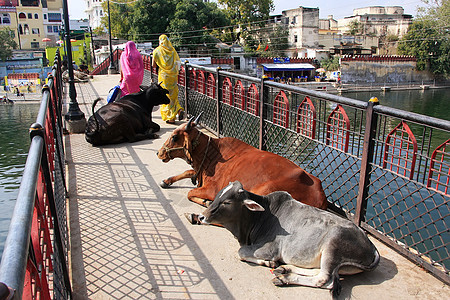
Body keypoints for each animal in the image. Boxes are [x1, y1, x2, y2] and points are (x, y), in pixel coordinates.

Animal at [158, 115, 344, 218]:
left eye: (174, 137)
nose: (159, 153)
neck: (209, 154)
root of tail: (320, 196)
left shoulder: (212, 188)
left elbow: (190, 192)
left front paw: (204, 201)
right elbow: (187, 171)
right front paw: (166, 181)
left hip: (264, 191)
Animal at [199, 180, 378, 298]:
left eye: (227, 202)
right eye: (218, 195)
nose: (201, 216)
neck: (261, 216)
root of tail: (372, 247)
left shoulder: (270, 249)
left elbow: (241, 252)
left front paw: (269, 263)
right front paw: (273, 265)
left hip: (333, 245)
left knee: (324, 279)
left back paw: (284, 278)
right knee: (318, 271)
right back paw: (285, 268)